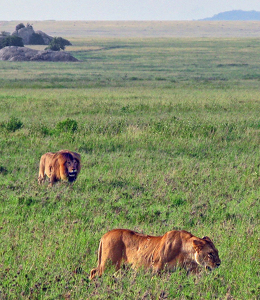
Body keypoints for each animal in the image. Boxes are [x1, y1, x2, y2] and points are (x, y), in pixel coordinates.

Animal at [89, 229, 219, 280]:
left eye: (217, 252)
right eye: (210, 253)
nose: (219, 264)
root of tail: (105, 235)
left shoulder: (192, 271)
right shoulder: (157, 269)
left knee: (93, 270)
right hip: (108, 264)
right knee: (94, 272)